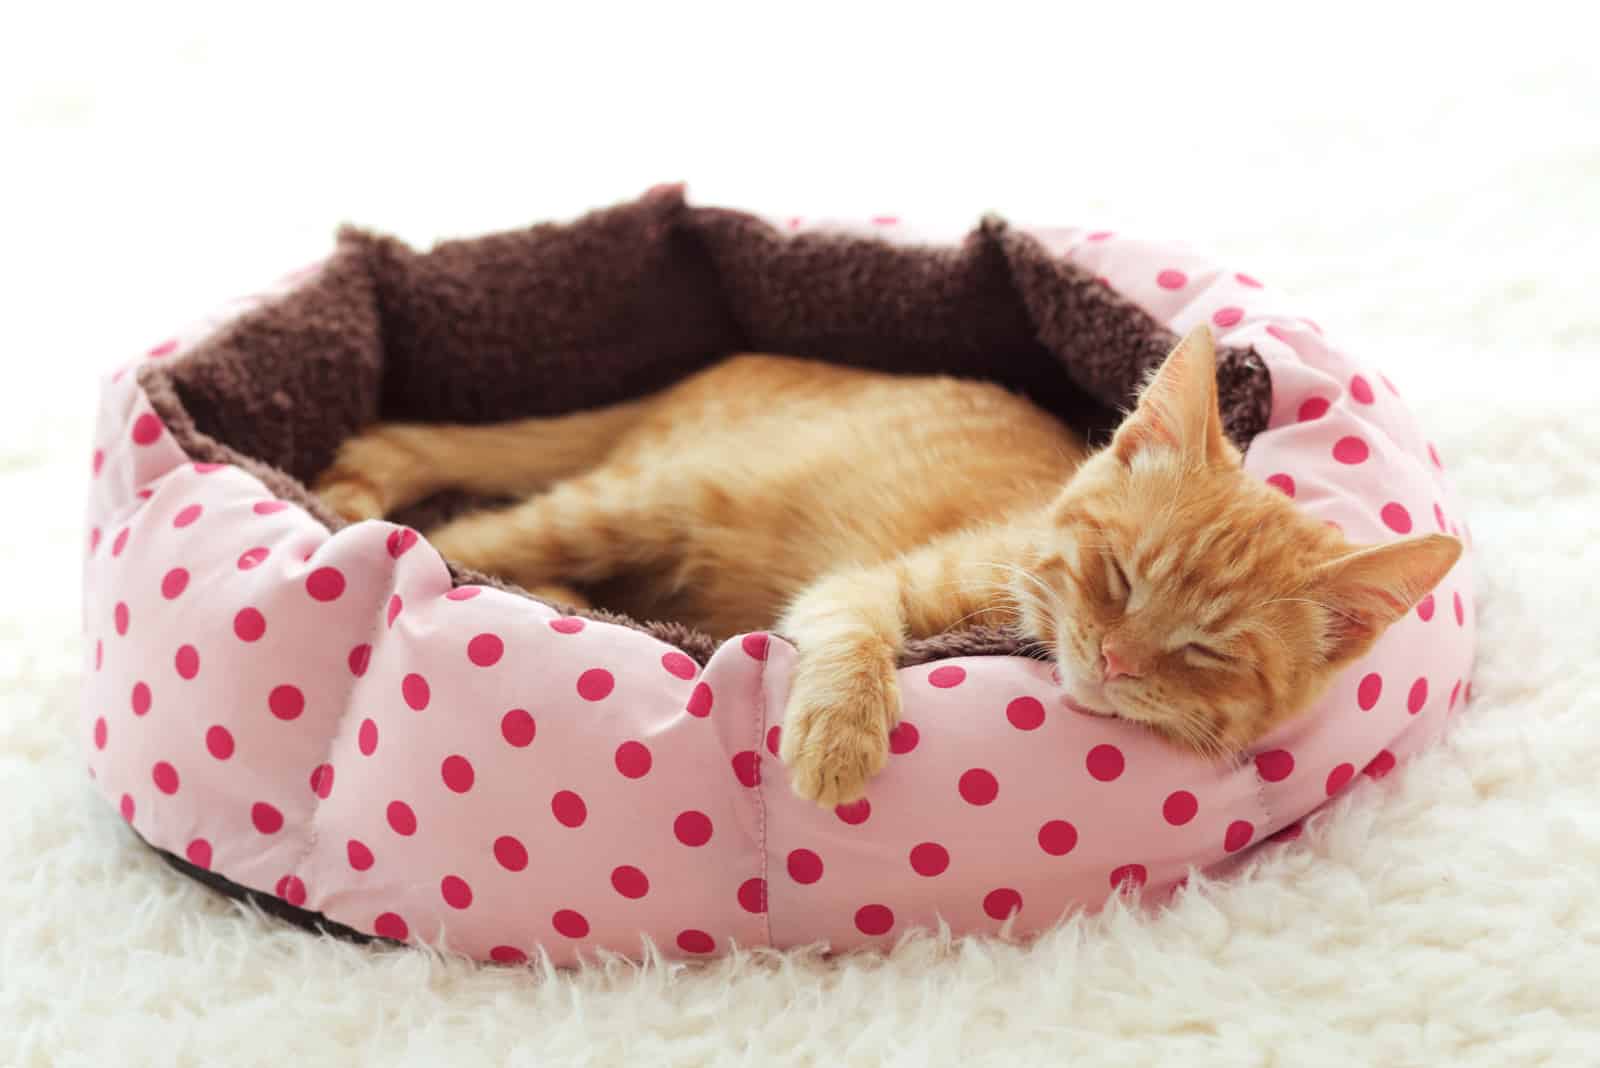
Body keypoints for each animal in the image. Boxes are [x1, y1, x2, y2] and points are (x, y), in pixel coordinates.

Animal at [315, 329, 1465, 805]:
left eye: (1206, 652)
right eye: (1118, 577)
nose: (1113, 660)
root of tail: (711, 368)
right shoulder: (871, 586)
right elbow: (853, 629)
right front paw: (836, 738)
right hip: (642, 499)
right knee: (481, 534)